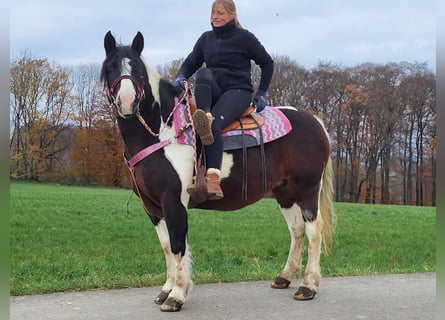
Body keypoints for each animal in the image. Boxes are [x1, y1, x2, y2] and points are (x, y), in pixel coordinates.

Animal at [100, 31, 334, 312]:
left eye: (137, 68)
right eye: (111, 67)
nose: (127, 102)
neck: (163, 130)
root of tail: (315, 121)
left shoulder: (173, 200)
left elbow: (178, 244)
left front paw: (177, 295)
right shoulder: (152, 206)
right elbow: (166, 246)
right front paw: (166, 289)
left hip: (307, 188)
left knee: (313, 231)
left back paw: (308, 286)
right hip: (285, 192)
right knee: (297, 230)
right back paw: (285, 277)